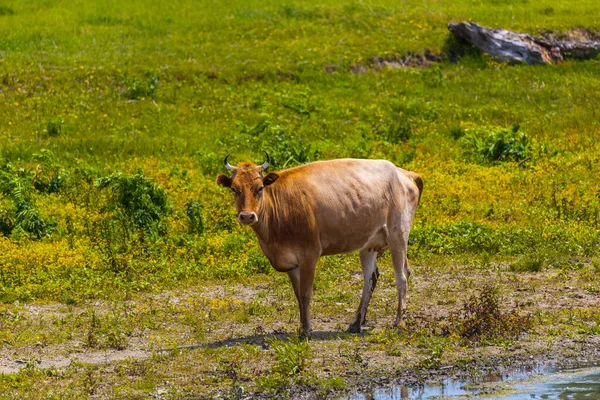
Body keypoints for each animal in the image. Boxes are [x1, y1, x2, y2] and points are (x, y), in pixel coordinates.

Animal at [216, 155, 422, 336]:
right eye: (234, 189)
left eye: (259, 188)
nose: (247, 216)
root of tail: (403, 173)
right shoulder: (290, 262)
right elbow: (298, 295)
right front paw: (302, 327)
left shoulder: (309, 255)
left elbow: (306, 294)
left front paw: (306, 331)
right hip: (369, 244)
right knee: (370, 279)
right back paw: (356, 323)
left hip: (398, 234)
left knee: (402, 276)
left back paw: (399, 322)